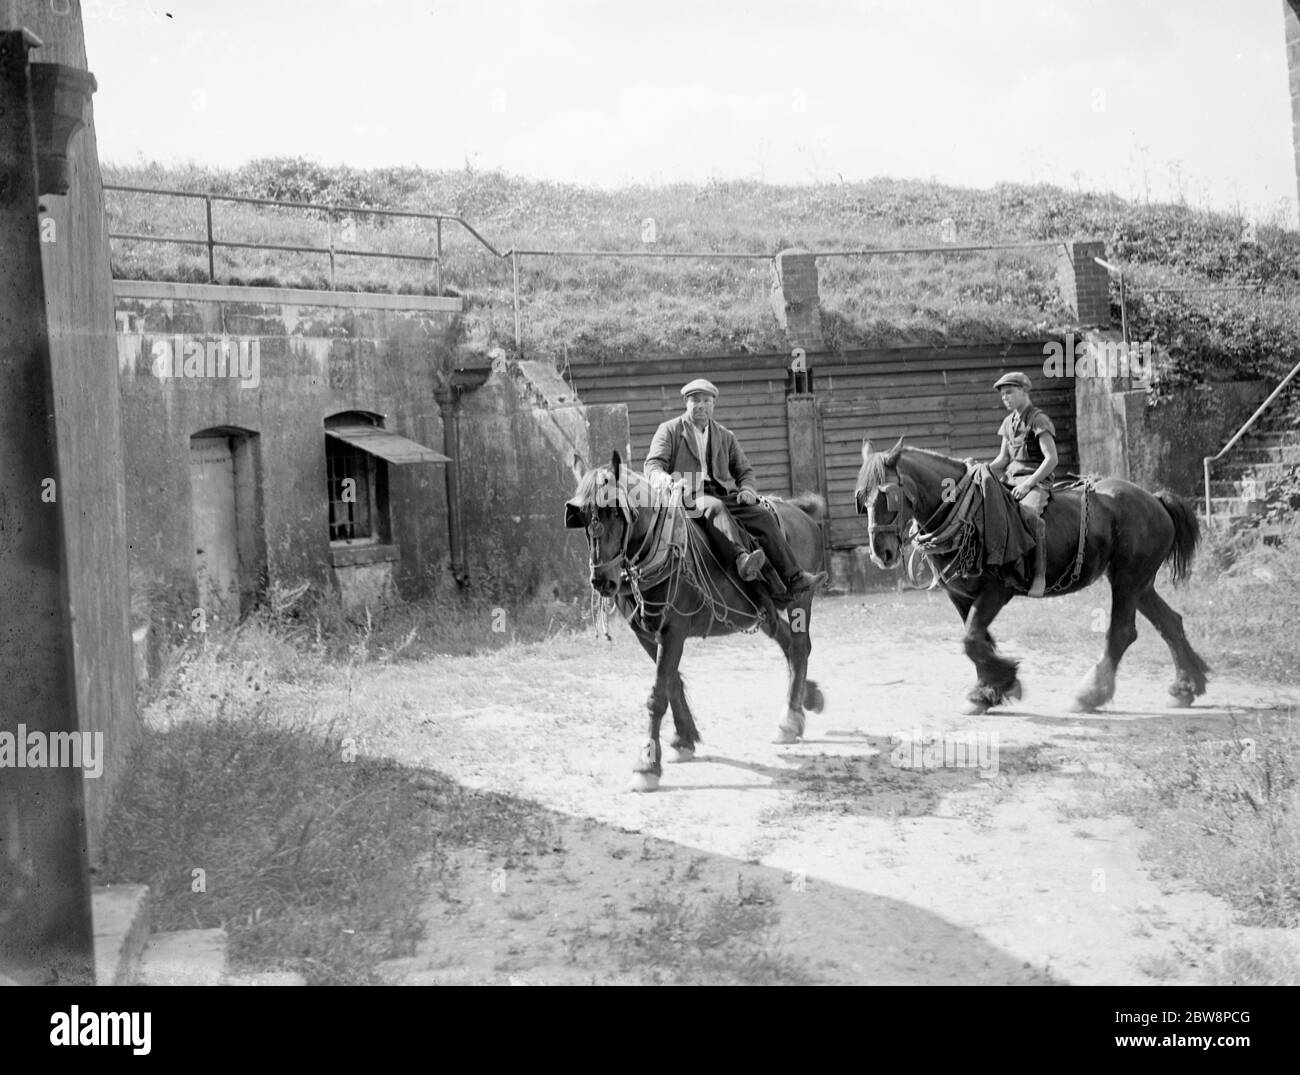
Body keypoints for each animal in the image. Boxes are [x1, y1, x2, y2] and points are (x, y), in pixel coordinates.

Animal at [564, 452, 826, 790]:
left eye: (616, 513)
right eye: (582, 517)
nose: (602, 580)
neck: (660, 551)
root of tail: (799, 511)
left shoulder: (674, 629)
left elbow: (659, 693)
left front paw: (647, 763)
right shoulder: (646, 633)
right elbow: (672, 683)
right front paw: (683, 739)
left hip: (799, 601)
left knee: (799, 646)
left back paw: (790, 718)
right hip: (763, 610)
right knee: (787, 643)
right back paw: (807, 697)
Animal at [852, 436, 1206, 712]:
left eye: (888, 494)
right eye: (861, 498)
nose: (881, 553)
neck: (966, 510)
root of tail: (1155, 499)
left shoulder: (995, 592)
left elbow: (970, 639)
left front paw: (998, 683)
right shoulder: (960, 595)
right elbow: (978, 640)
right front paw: (991, 688)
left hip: (1127, 579)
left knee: (1122, 632)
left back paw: (1091, 693)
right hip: (1139, 582)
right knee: (1170, 623)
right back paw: (1187, 685)